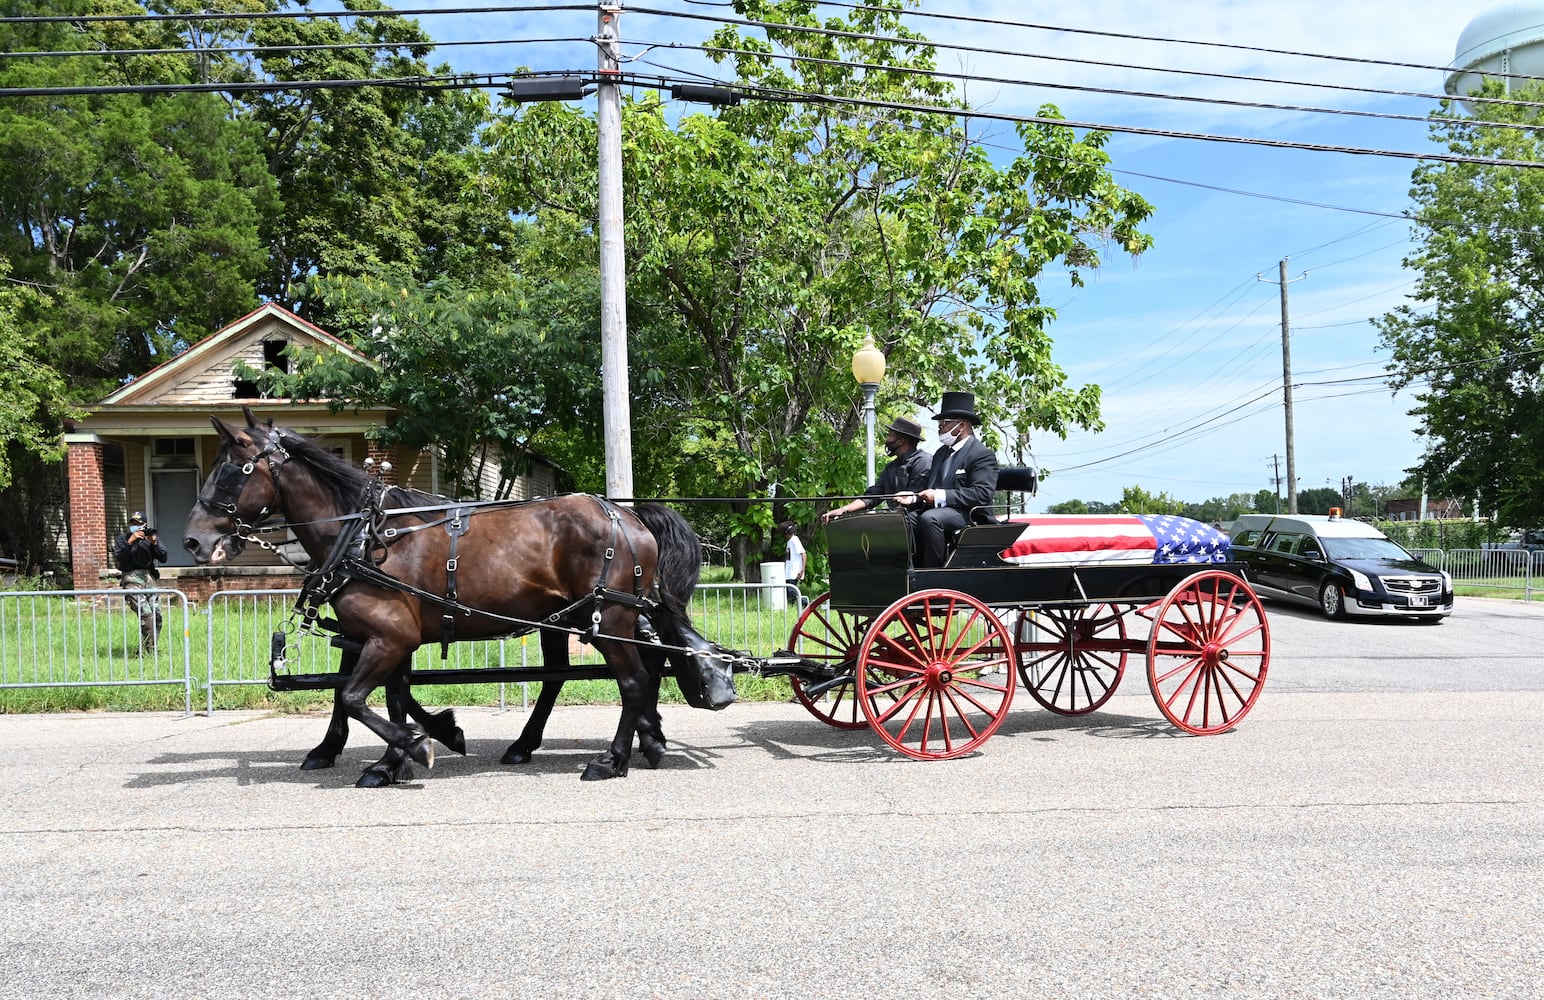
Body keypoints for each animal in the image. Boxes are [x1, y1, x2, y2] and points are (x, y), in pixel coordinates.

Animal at [180, 407, 734, 780]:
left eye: (233, 470)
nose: (193, 540)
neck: (362, 534)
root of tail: (628, 514)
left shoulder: (390, 636)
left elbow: (355, 696)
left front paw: (413, 746)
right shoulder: (383, 637)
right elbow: (387, 695)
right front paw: (403, 751)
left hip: (609, 619)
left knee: (636, 681)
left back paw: (612, 759)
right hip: (577, 618)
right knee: (595, 675)